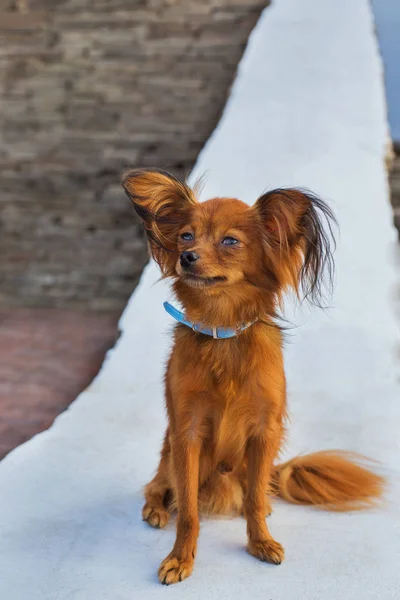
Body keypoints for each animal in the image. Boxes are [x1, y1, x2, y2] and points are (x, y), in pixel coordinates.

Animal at [121, 169, 382, 584]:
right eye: (186, 236)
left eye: (230, 241)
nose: (186, 257)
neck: (224, 331)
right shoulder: (186, 435)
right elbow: (189, 510)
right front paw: (180, 558)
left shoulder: (264, 432)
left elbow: (257, 499)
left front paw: (260, 541)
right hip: (167, 456)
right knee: (158, 486)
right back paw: (157, 509)